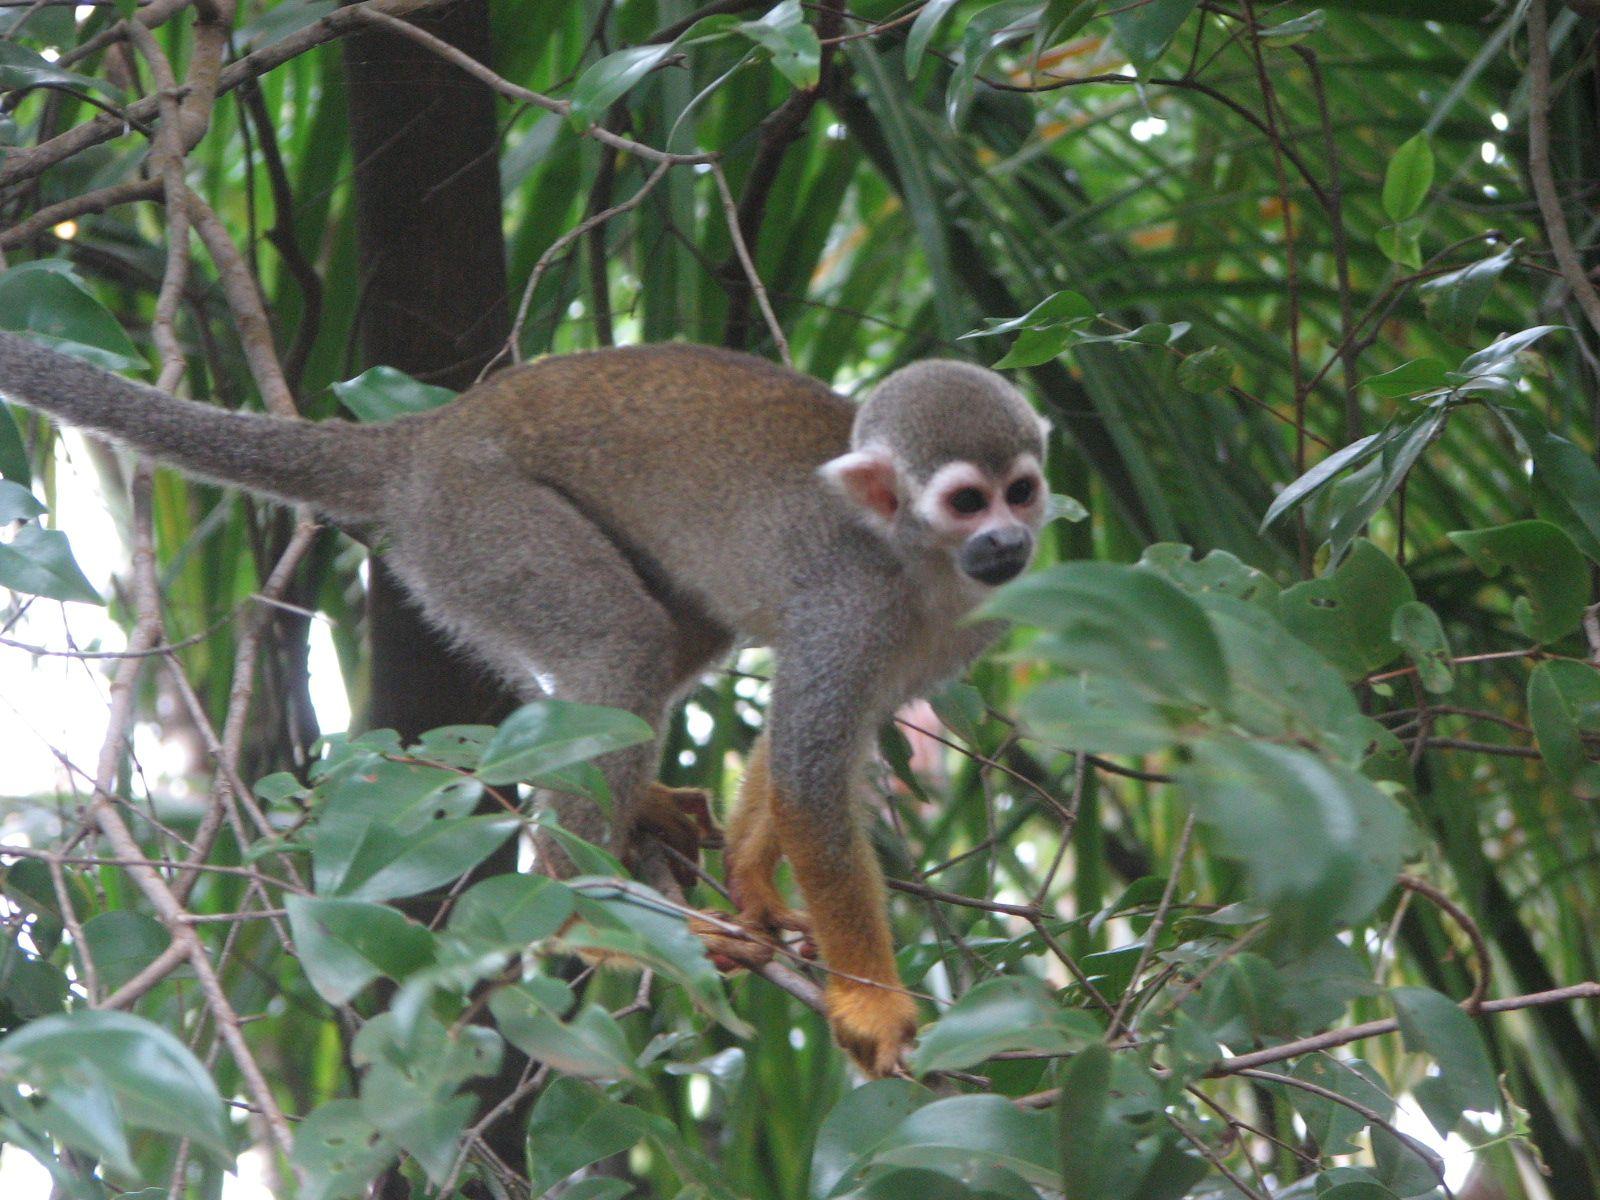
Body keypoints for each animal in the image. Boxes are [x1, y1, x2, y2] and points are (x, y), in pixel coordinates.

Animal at [0, 333, 1050, 1076]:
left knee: (672, 633)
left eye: (1022, 490)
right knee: (621, 639)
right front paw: (873, 1001)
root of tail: (425, 439)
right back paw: (583, 907)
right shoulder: (853, 607)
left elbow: (816, 745)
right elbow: (812, 774)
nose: (1009, 541)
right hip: (479, 523)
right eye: (967, 501)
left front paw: (755, 884)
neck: (920, 566)